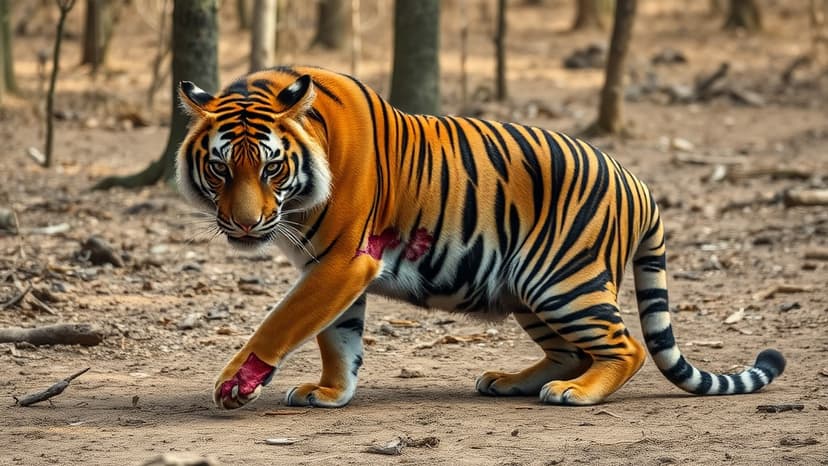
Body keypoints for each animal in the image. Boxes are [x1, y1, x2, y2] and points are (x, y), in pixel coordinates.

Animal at [175, 65, 785, 410]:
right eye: (222, 169)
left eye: (271, 167)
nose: (245, 224)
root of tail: (638, 181)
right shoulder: (328, 268)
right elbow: (336, 337)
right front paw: (330, 392)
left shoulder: (344, 260)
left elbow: (282, 321)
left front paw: (236, 382)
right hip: (527, 288)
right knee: (569, 351)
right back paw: (509, 380)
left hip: (563, 282)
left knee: (627, 347)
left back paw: (577, 394)